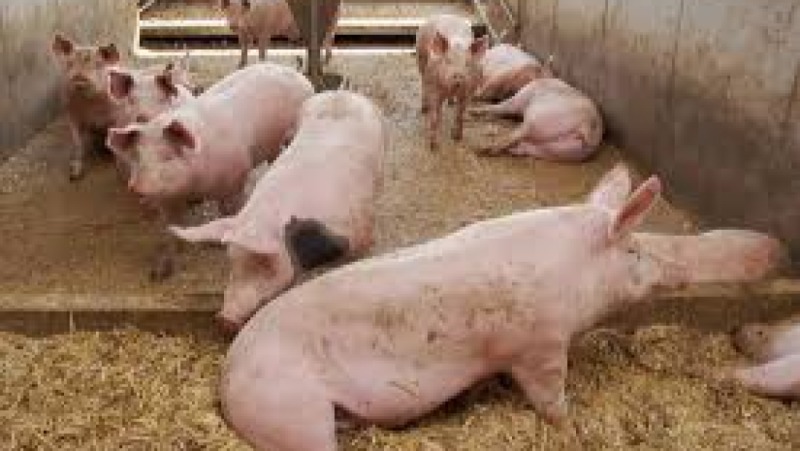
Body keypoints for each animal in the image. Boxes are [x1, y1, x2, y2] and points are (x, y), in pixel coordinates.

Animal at [51, 34, 123, 180]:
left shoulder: (117, 116)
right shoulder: (71, 114)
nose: (79, 78)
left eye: (98, 65)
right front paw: (74, 174)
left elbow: (114, 141)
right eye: (70, 63)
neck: (90, 104)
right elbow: (77, 143)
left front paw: (117, 169)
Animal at [106, 63, 314, 280]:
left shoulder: (235, 180)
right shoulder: (168, 200)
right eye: (137, 156)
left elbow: (229, 211)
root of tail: (294, 72)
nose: (136, 186)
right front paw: (159, 273)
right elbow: (171, 227)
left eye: (168, 156)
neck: (195, 186)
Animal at [218, 164, 784, 451]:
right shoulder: (540, 344)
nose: (667, 270)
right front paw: (571, 424)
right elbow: (549, 396)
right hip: (293, 407)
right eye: (634, 252)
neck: (575, 270)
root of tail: (228, 376)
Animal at [416, 14, 489, 150]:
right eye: (448, 60)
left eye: (467, 63)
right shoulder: (433, 87)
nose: (459, 75)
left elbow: (460, 114)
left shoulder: (469, 91)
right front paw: (433, 146)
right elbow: (434, 116)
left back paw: (450, 103)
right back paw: (424, 109)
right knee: (422, 82)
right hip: (421, 57)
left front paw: (457, 137)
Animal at [471, 77, 603, 162]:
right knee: (523, 148)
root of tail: (588, 123)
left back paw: (481, 148)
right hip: (558, 151)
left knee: (515, 135)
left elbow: (500, 107)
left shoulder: (520, 98)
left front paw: (474, 110)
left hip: (538, 120)